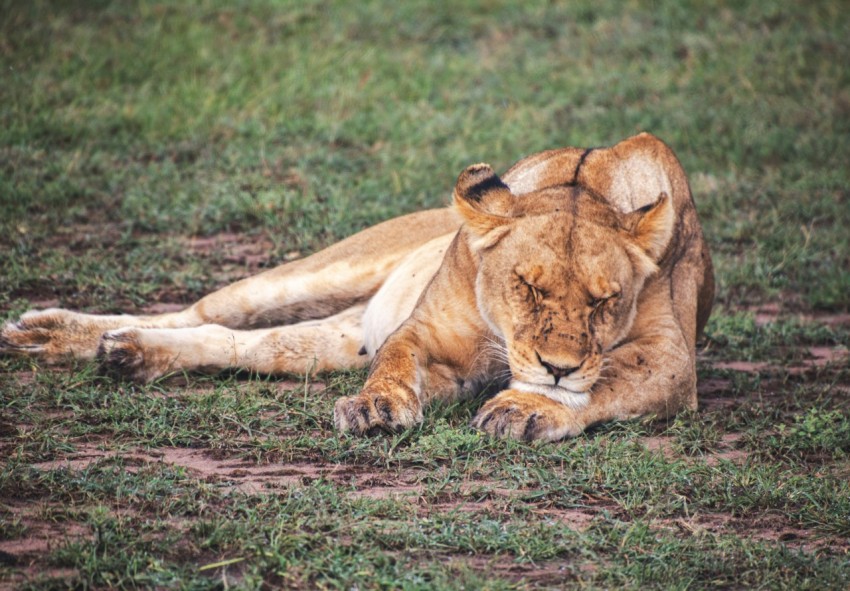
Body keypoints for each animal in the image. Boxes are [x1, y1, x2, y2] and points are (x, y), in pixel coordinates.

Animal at [1, 133, 713, 441]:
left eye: (604, 300)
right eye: (524, 286)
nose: (558, 366)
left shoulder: (672, 362)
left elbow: (606, 381)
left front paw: (531, 404)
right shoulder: (426, 332)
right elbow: (396, 359)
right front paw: (376, 407)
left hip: (327, 341)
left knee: (236, 342)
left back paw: (126, 354)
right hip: (314, 273)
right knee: (197, 310)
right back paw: (52, 334)